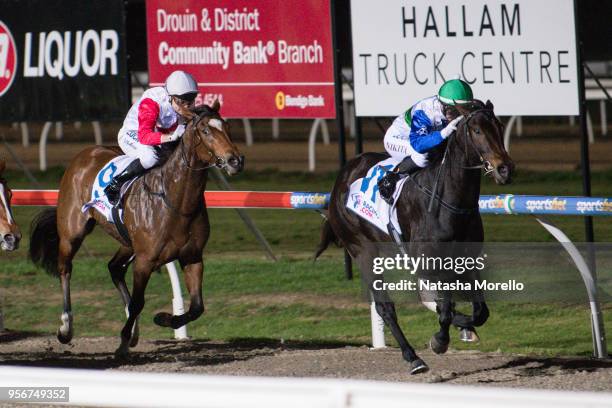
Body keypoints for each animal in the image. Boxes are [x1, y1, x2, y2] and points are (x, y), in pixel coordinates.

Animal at [29, 103, 243, 356]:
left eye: (227, 127)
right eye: (205, 131)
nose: (235, 160)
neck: (176, 200)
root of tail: (85, 154)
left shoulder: (192, 256)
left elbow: (197, 307)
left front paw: (163, 319)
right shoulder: (145, 260)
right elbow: (138, 301)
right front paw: (122, 341)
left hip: (127, 243)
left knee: (114, 268)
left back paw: (133, 331)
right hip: (72, 233)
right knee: (65, 269)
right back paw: (66, 327)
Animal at [318, 100, 512, 374]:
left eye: (499, 126)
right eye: (476, 130)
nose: (505, 169)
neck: (450, 200)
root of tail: (341, 179)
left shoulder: (466, 257)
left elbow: (479, 311)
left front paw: (464, 325)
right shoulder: (431, 262)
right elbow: (445, 308)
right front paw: (440, 340)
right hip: (362, 249)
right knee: (385, 307)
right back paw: (413, 357)